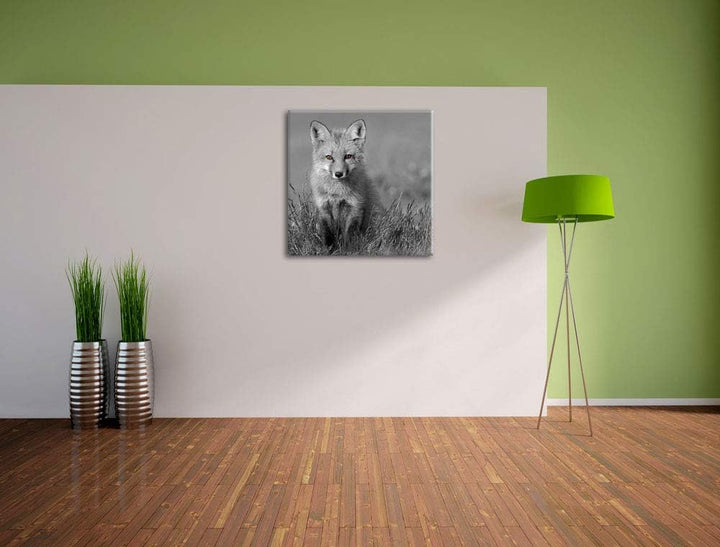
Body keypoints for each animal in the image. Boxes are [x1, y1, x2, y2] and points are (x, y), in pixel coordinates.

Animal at [308, 119, 378, 248]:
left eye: (348, 156)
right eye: (329, 157)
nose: (339, 174)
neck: (337, 193)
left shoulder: (355, 207)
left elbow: (349, 234)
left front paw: (348, 250)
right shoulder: (324, 208)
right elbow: (328, 235)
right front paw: (329, 250)